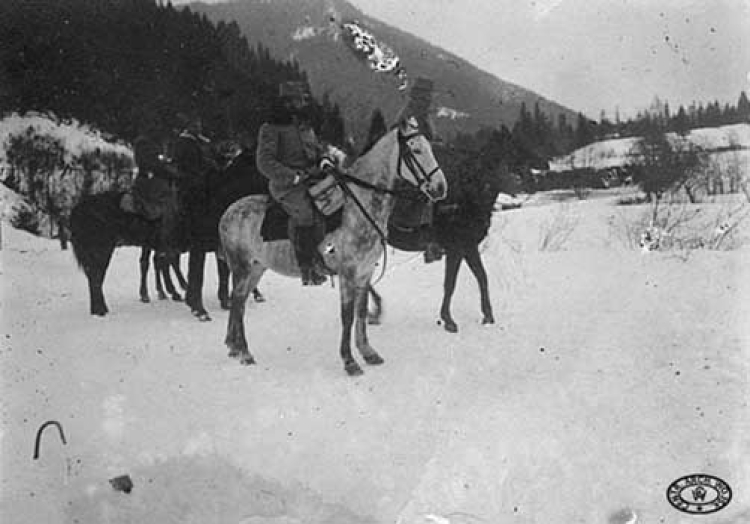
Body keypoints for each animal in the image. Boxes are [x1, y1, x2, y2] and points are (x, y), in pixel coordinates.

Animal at [70, 148, 268, 320]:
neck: (216, 198)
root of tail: (78, 209)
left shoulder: (218, 246)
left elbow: (223, 275)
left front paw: (225, 302)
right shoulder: (200, 246)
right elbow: (198, 277)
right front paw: (199, 310)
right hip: (101, 250)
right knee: (96, 278)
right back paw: (103, 309)